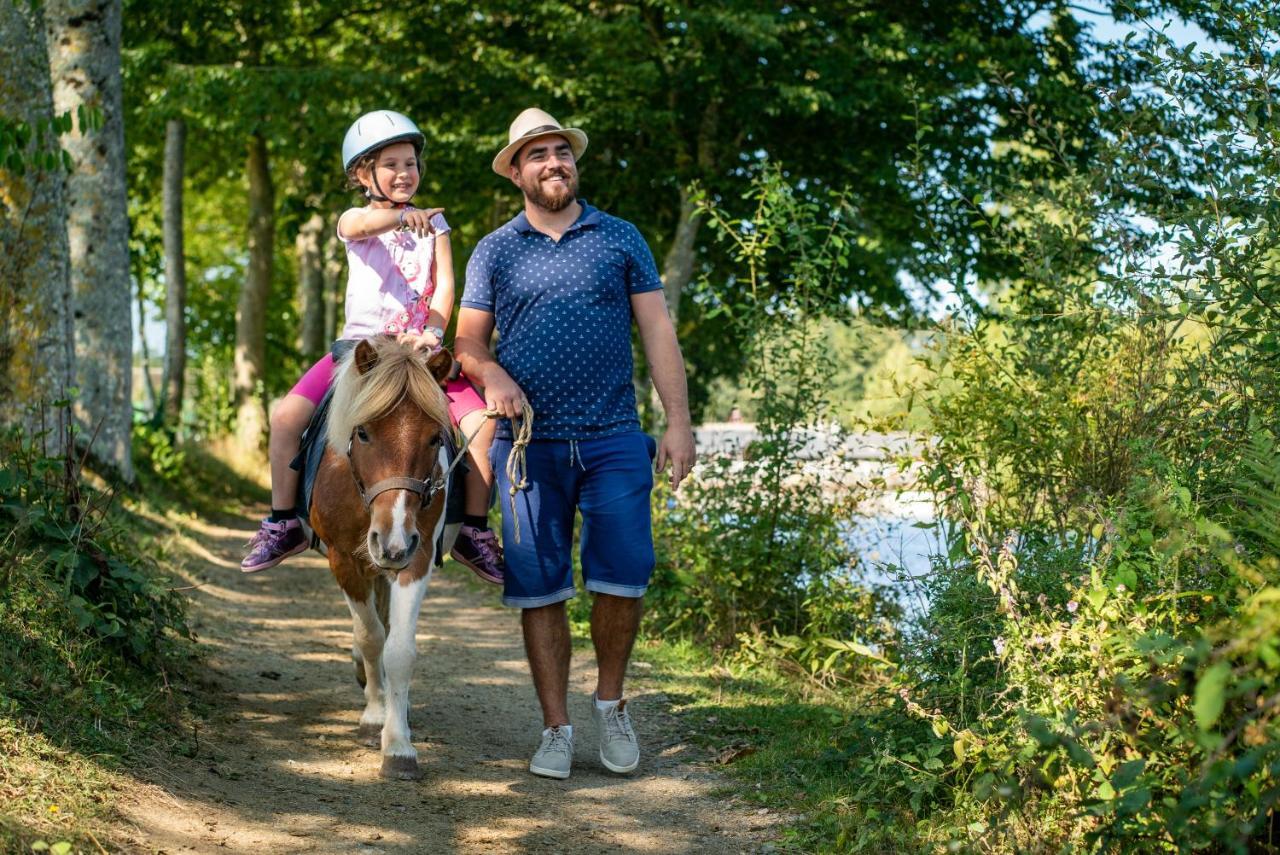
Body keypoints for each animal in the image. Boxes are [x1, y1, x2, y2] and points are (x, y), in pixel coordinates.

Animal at [311, 337, 460, 778]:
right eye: (362, 432)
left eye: (434, 438)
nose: (392, 541)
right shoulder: (345, 559)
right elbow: (371, 636)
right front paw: (375, 717)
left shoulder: (417, 555)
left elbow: (399, 648)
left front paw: (398, 745)